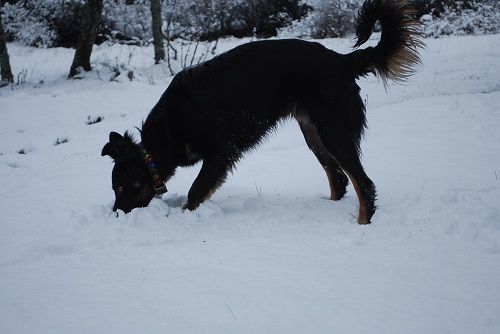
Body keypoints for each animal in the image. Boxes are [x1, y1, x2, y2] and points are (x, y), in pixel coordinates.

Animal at [101, 0, 422, 224]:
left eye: (121, 188)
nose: (116, 214)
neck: (167, 132)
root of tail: (341, 61)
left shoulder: (221, 151)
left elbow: (196, 190)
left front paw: (185, 218)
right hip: (314, 133)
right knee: (340, 180)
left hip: (335, 132)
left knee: (363, 184)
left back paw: (362, 223)